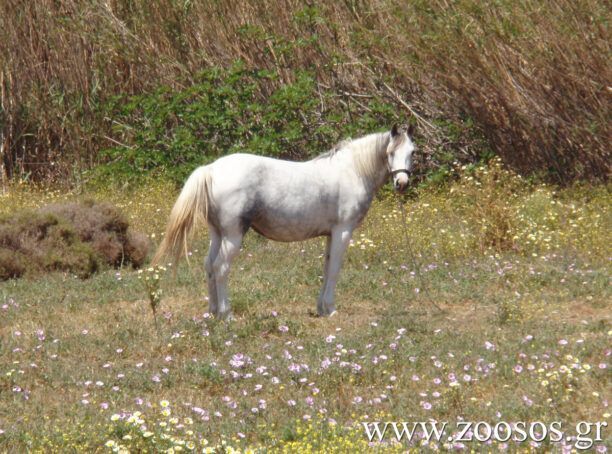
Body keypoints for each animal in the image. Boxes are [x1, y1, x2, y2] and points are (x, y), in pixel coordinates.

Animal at [154, 124, 416, 320]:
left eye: (412, 151)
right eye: (391, 152)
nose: (402, 183)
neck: (352, 171)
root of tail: (211, 169)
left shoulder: (331, 234)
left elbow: (326, 268)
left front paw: (321, 308)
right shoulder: (343, 231)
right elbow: (334, 270)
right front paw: (331, 309)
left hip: (217, 234)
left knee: (209, 265)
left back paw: (213, 312)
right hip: (232, 235)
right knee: (220, 267)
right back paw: (227, 314)